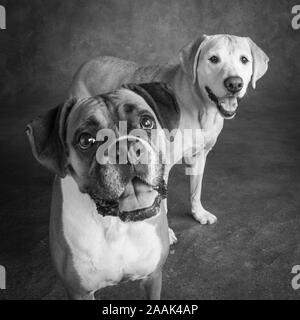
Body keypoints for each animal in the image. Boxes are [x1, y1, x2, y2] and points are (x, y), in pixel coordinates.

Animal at [25, 82, 180, 300]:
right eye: (86, 140)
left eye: (147, 122)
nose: (125, 148)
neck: (117, 224)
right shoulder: (79, 292)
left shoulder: (153, 277)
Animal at [69, 34, 268, 242]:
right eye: (213, 59)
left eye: (244, 60)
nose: (234, 84)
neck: (200, 107)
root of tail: (87, 62)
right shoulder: (159, 166)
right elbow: (161, 203)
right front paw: (166, 232)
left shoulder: (200, 157)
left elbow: (195, 190)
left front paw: (199, 213)